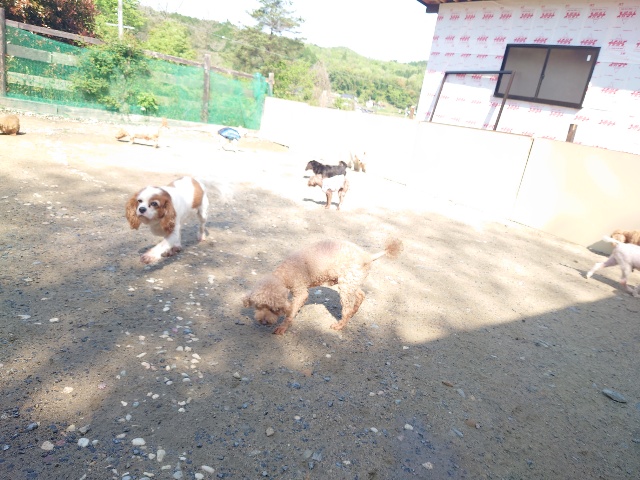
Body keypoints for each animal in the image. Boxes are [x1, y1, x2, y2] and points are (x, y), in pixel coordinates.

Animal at [243, 238, 403, 335]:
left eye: (274, 309)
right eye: (258, 306)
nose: (263, 322)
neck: (284, 274)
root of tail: (367, 256)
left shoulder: (301, 291)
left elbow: (290, 313)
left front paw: (282, 328)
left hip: (346, 286)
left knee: (347, 307)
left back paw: (339, 325)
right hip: (350, 281)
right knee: (360, 295)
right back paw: (353, 312)